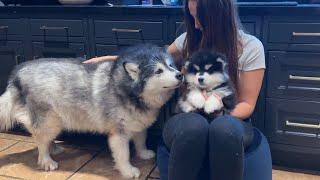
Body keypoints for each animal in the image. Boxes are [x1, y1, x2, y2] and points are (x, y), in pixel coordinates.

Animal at [0, 44, 182, 179]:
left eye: (170, 65)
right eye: (158, 71)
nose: (180, 75)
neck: (125, 89)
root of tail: (18, 71)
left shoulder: (138, 123)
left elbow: (140, 140)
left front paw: (143, 153)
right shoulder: (118, 133)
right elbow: (123, 154)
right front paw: (128, 170)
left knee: (44, 139)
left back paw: (54, 148)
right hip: (50, 121)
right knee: (40, 141)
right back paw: (47, 161)